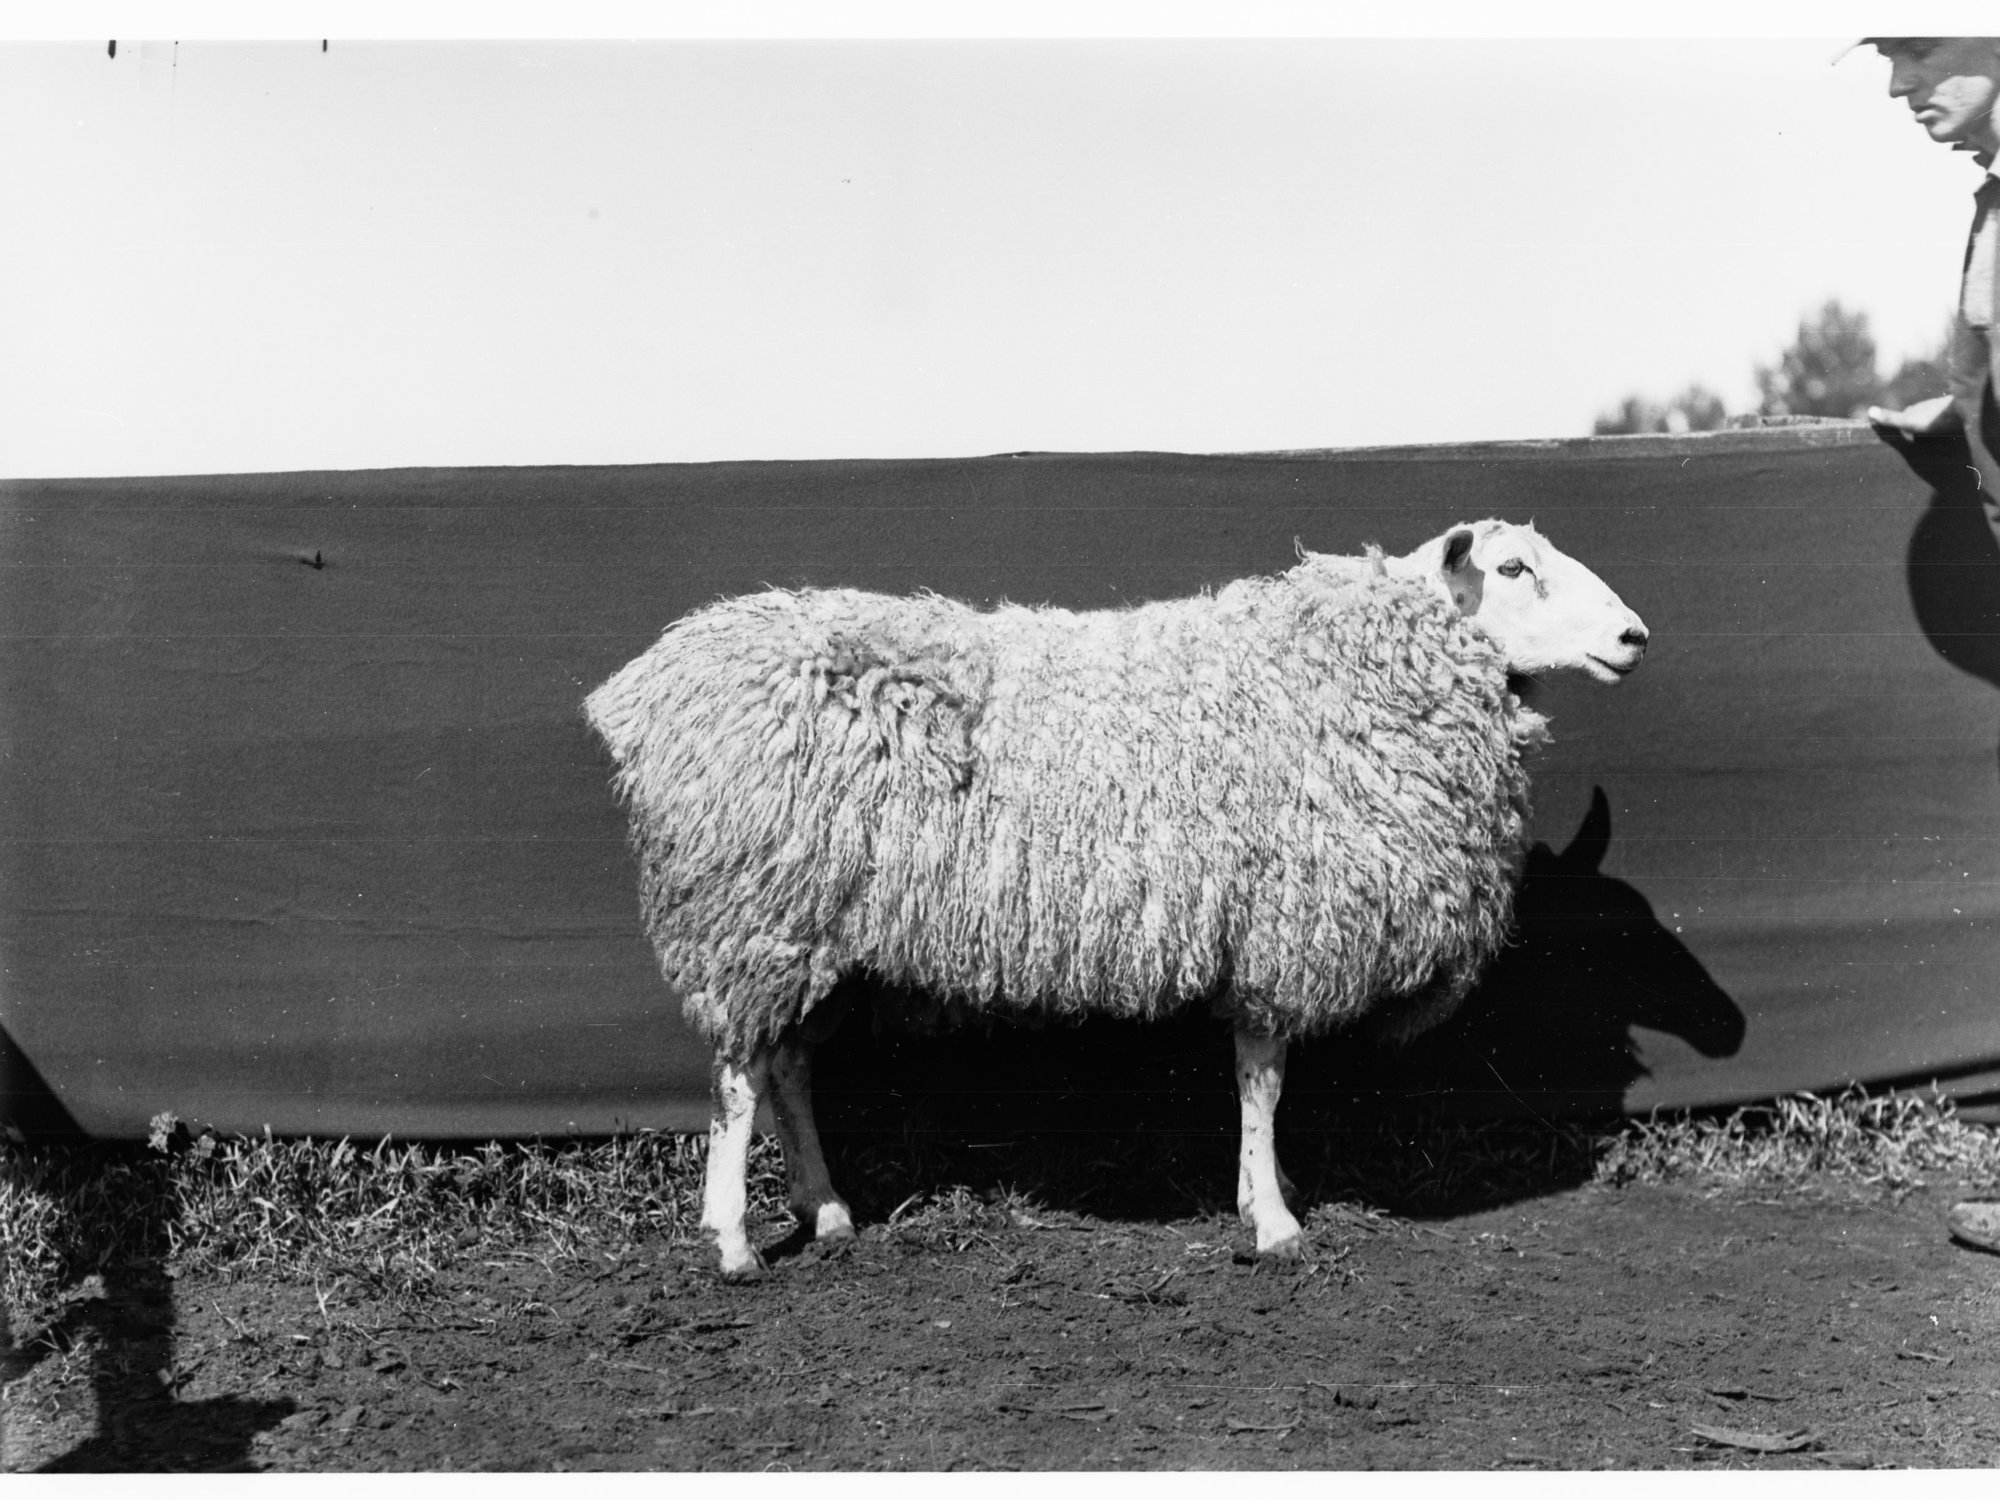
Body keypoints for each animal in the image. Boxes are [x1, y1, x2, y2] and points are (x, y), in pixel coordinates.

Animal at [584, 519, 1648, 1276]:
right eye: (1512, 568)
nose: (1635, 635)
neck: (1350, 669)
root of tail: (648, 685)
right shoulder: (1277, 926)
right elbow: (1263, 1077)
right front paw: (1273, 1221)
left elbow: (1262, 1082)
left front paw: (1267, 1187)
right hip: (750, 909)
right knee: (736, 1080)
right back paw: (733, 1245)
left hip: (816, 930)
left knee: (790, 1068)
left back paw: (829, 1210)